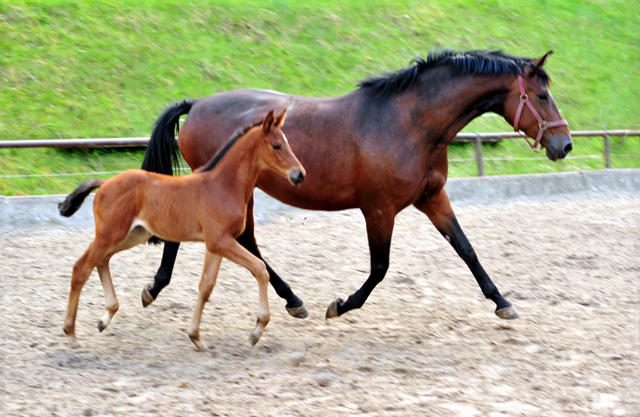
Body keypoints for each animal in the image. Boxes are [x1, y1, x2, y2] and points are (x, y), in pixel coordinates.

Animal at [58, 109, 304, 350]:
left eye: (287, 142)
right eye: (276, 145)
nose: (299, 174)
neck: (223, 186)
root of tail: (104, 183)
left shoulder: (216, 245)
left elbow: (206, 286)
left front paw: (196, 336)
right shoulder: (220, 241)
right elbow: (260, 268)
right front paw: (257, 330)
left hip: (132, 235)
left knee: (102, 261)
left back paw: (105, 317)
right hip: (111, 234)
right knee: (81, 268)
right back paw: (71, 333)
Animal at [139, 49, 568, 322]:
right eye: (542, 95)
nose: (565, 144)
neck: (409, 123)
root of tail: (196, 105)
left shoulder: (432, 197)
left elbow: (466, 249)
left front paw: (502, 302)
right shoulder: (379, 209)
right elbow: (380, 267)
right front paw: (341, 305)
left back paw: (290, 300)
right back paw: (159, 288)